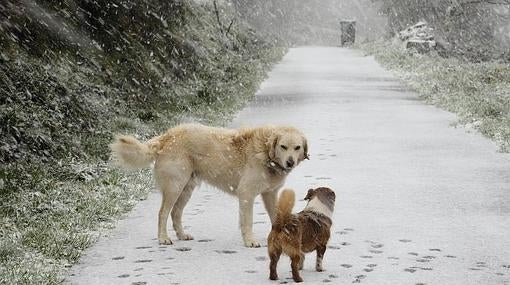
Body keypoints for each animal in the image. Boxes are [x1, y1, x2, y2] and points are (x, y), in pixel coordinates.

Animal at [110, 123, 308, 245]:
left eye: (297, 147)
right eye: (283, 146)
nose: (290, 162)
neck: (266, 153)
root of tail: (167, 135)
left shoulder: (270, 194)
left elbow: (276, 217)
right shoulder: (246, 194)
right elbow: (248, 221)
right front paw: (250, 241)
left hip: (186, 189)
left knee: (175, 213)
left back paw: (181, 235)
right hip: (175, 187)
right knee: (163, 213)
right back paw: (163, 238)